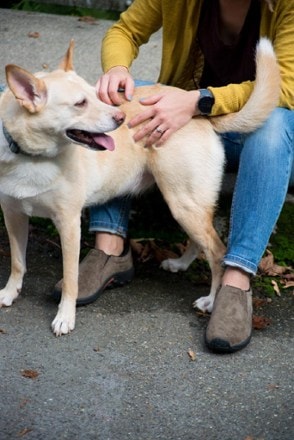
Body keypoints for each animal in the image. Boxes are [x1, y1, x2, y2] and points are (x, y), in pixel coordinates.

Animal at [0, 38, 280, 334]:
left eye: (95, 95)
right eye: (80, 103)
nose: (121, 118)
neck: (32, 156)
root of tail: (200, 116)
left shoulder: (69, 223)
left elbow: (71, 278)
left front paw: (65, 316)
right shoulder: (13, 215)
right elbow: (17, 262)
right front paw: (10, 292)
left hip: (183, 202)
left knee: (217, 252)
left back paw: (212, 301)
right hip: (182, 204)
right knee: (200, 240)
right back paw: (181, 263)